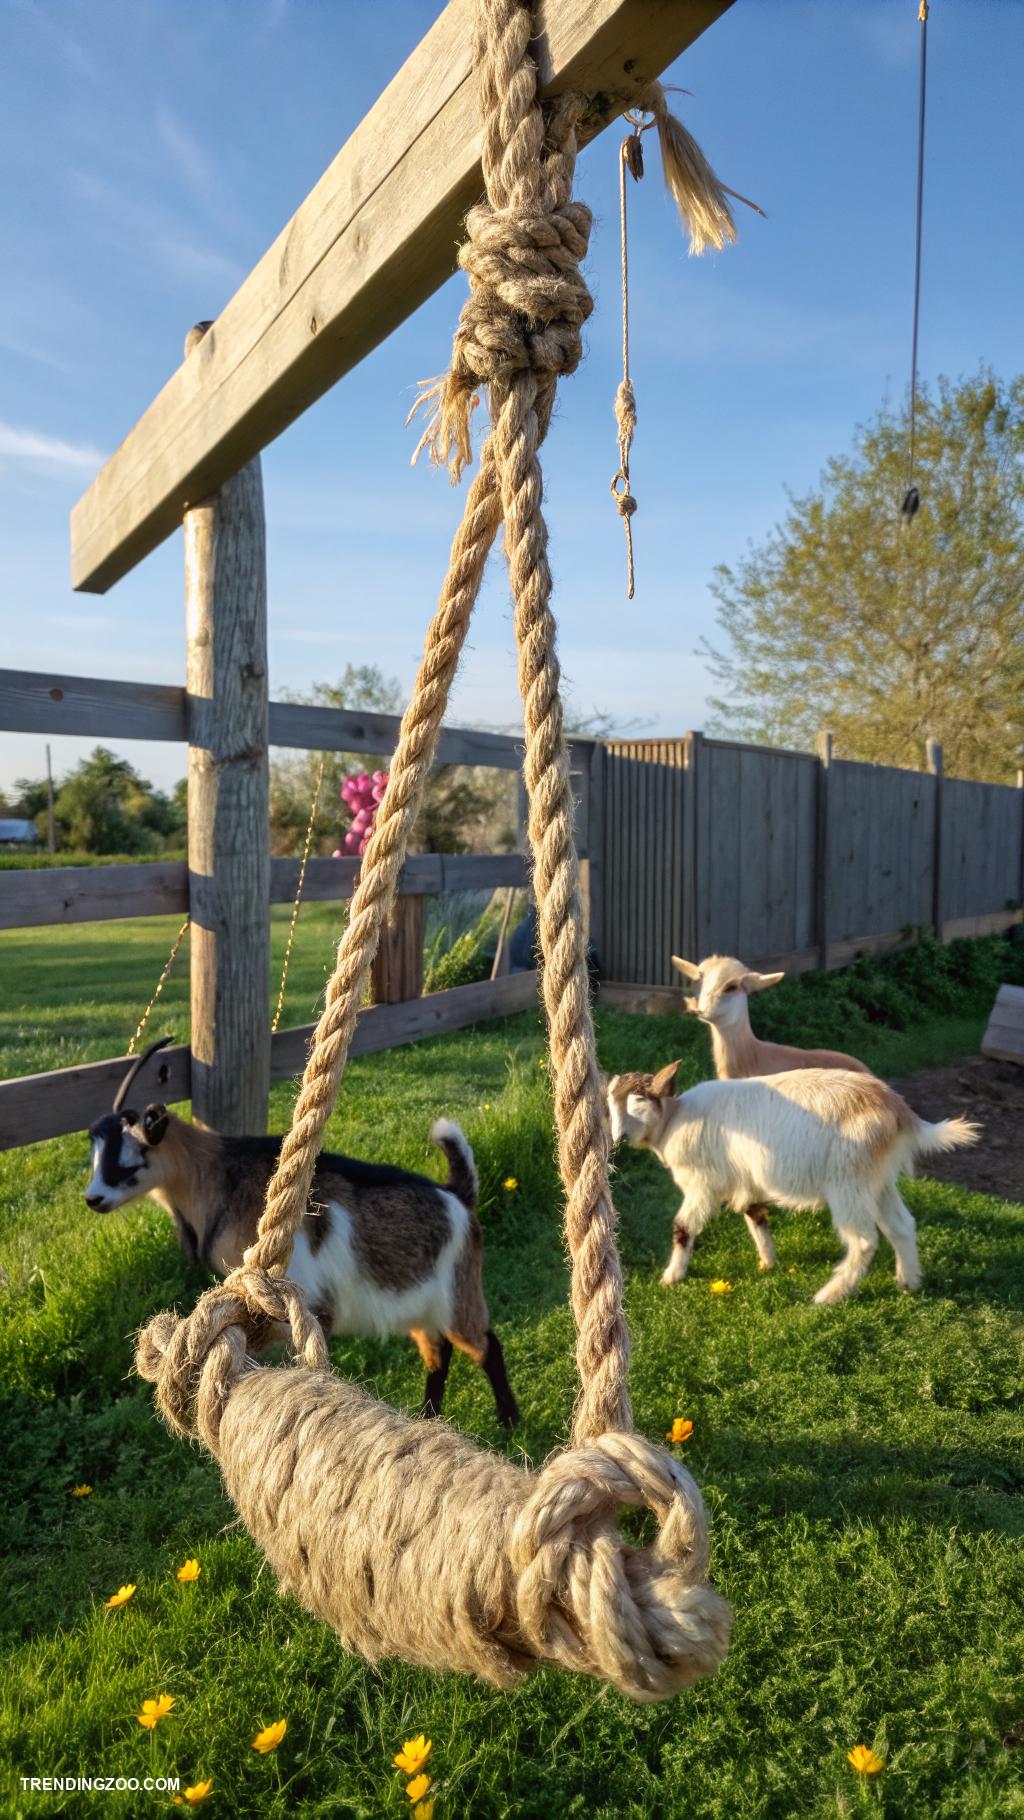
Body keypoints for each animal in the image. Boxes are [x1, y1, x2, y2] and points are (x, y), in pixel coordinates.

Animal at [85, 1039, 518, 1426]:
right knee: (438, 1351)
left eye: (129, 1161)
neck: (217, 1175)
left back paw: (509, 1420)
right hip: (418, 1301)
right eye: (94, 1157)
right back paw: (430, 1415)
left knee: (485, 1345)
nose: (93, 1198)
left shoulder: (307, 1301)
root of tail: (458, 1196)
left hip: (460, 1290)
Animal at [607, 1060, 978, 1304]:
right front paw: (767, 1262)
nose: (617, 1139)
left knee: (863, 1240)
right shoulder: (747, 1179)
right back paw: (908, 1282)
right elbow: (756, 1215)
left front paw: (671, 1277)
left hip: (847, 1178)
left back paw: (829, 1296)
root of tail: (900, 1111)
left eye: (638, 1101)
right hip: (877, 1178)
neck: (674, 1119)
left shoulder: (703, 1184)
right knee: (901, 1226)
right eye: (609, 1104)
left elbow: (683, 1227)